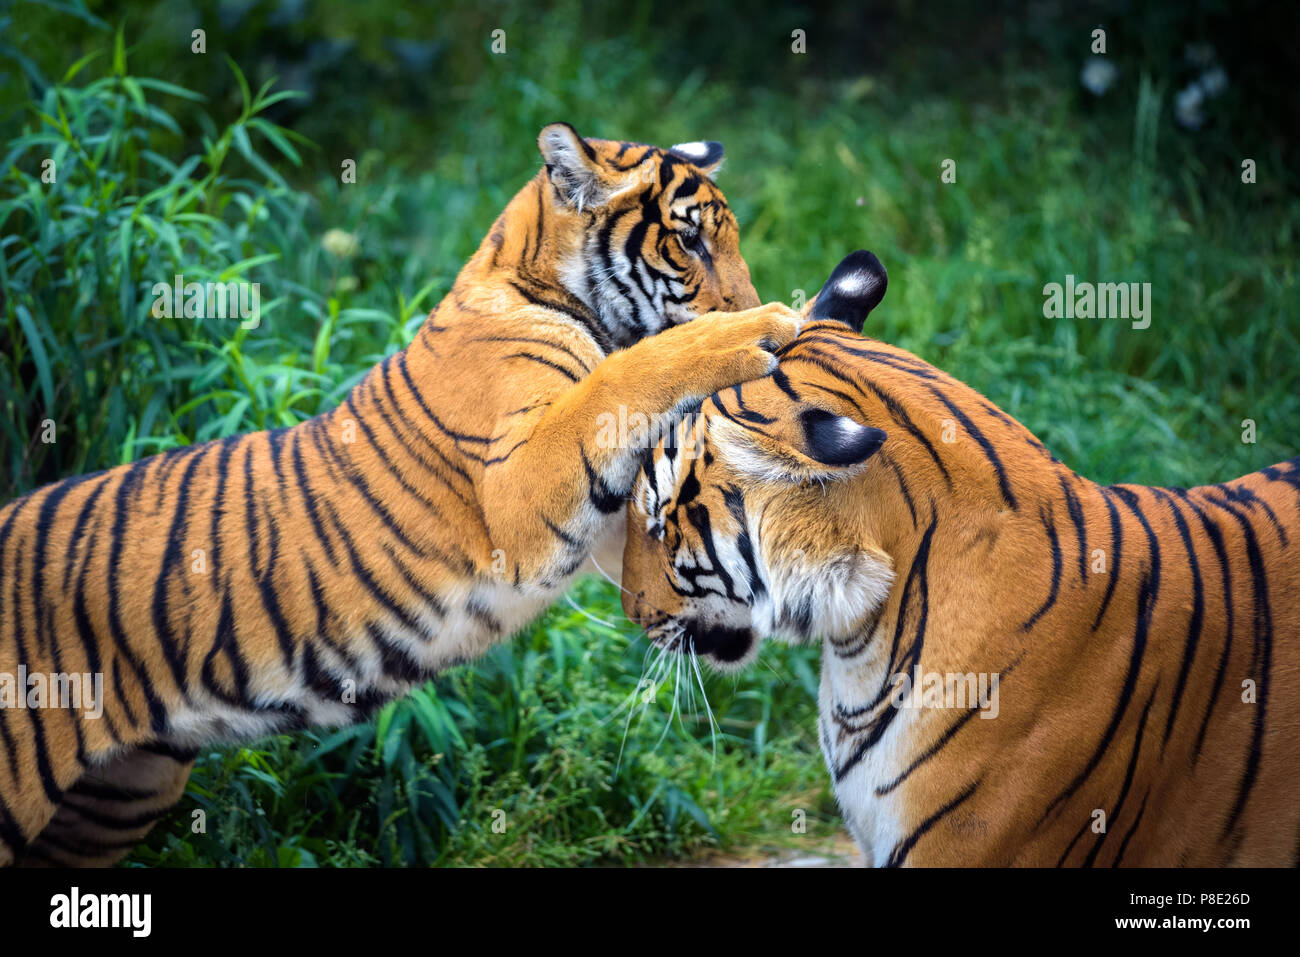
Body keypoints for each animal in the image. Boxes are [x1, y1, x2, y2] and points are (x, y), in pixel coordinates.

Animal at [0, 125, 800, 868]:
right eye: (689, 242)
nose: (751, 298)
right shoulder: (521, 489)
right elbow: (629, 374)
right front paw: (763, 327)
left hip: (119, 794)